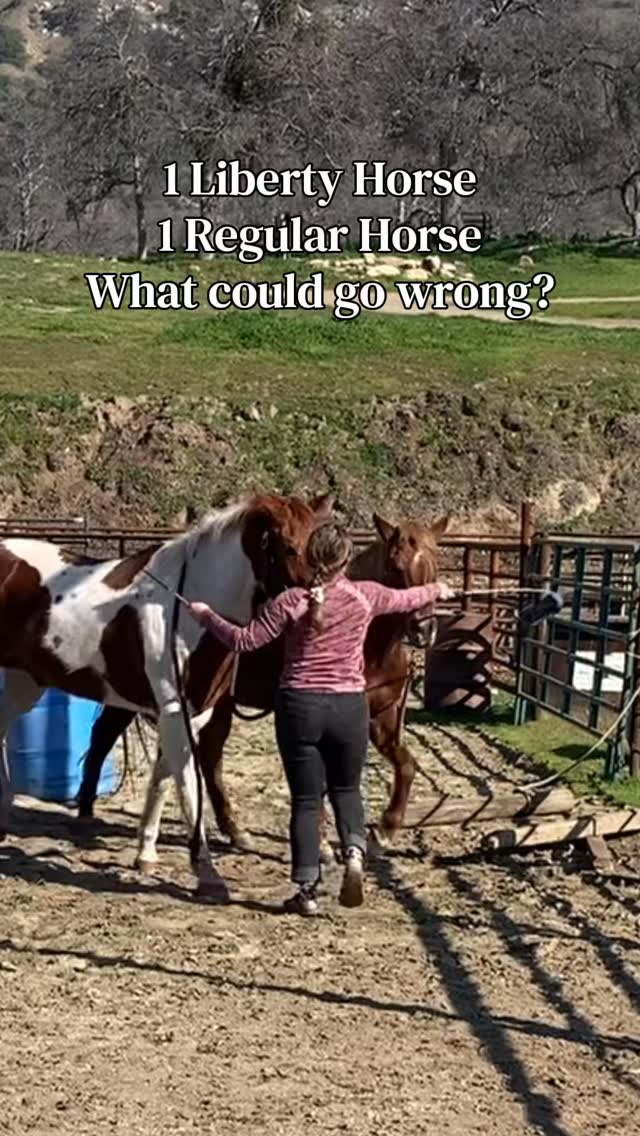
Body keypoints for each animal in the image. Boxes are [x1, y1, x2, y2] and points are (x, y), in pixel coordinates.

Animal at [0, 492, 333, 897]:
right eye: (288, 547)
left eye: (323, 548)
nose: (321, 613)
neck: (186, 605)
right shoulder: (175, 712)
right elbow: (189, 786)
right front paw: (207, 874)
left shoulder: (190, 714)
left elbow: (163, 777)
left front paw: (145, 852)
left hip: (24, 683)